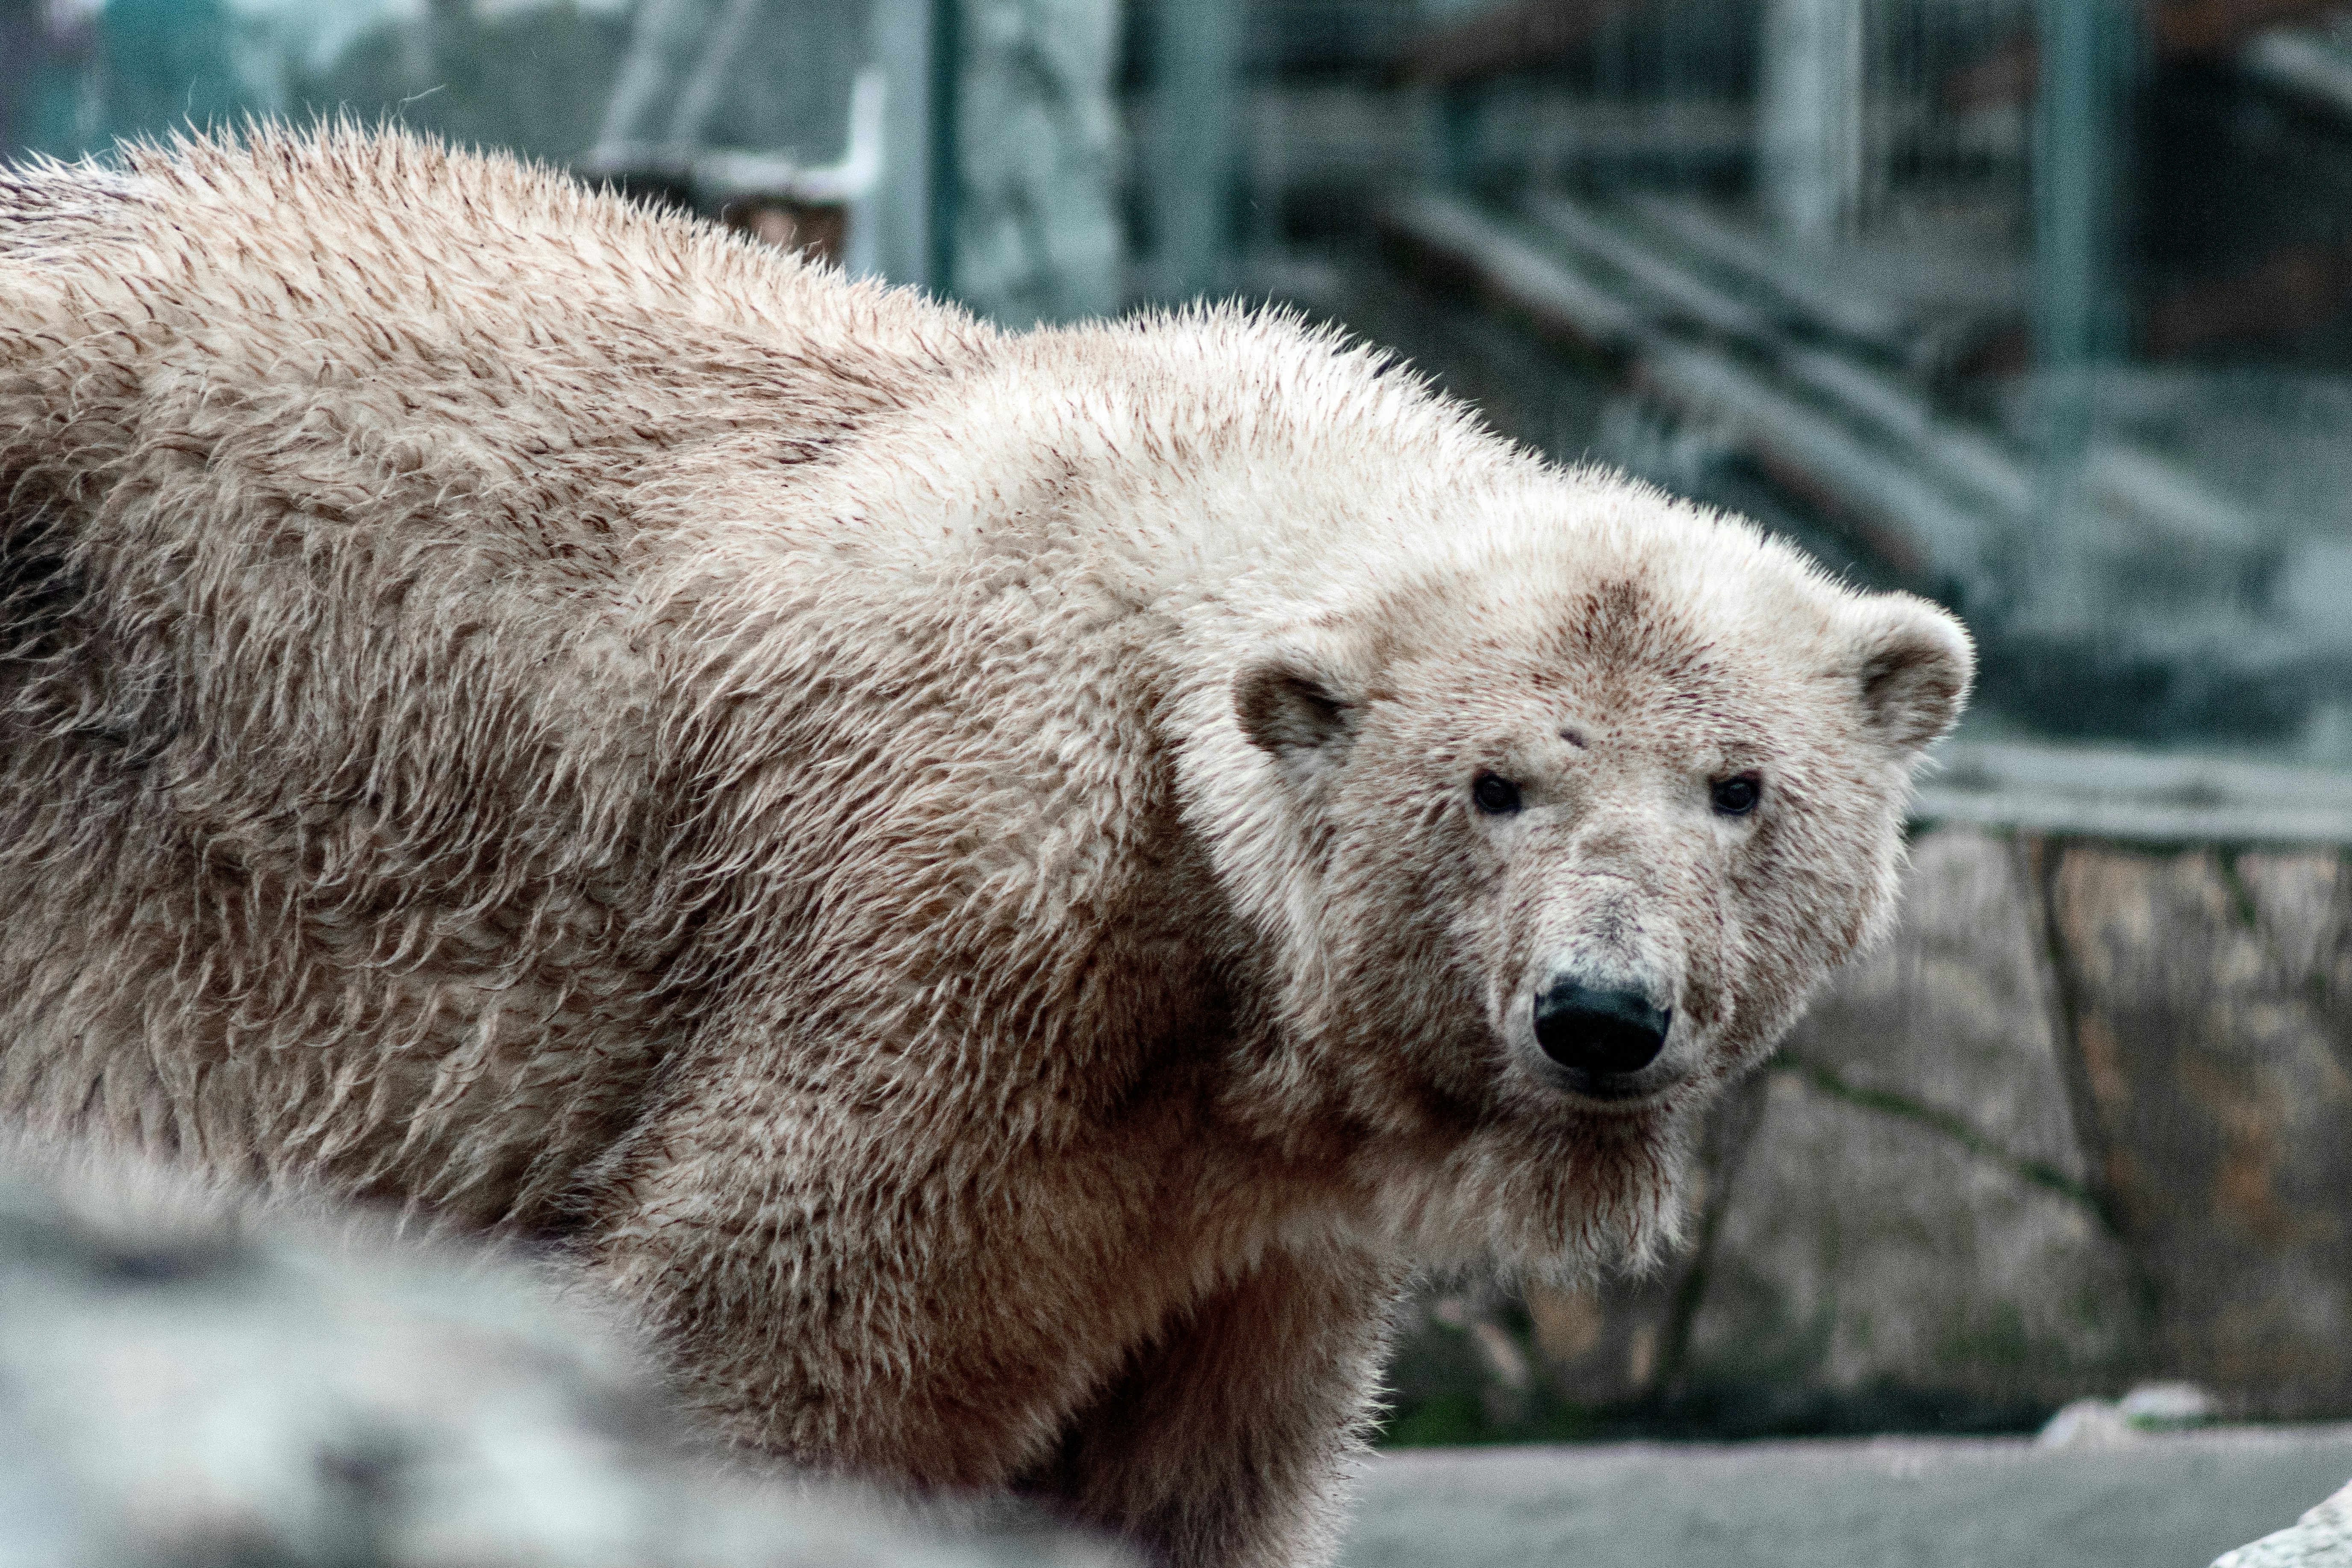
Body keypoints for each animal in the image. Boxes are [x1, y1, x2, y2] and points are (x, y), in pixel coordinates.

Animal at [0, 132, 1966, 1568]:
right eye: (1495, 784)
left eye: (1736, 786)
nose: (1599, 1012)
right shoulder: (960, 962)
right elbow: (749, 1353)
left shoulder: (1256, 1231)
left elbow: (1188, 1481)